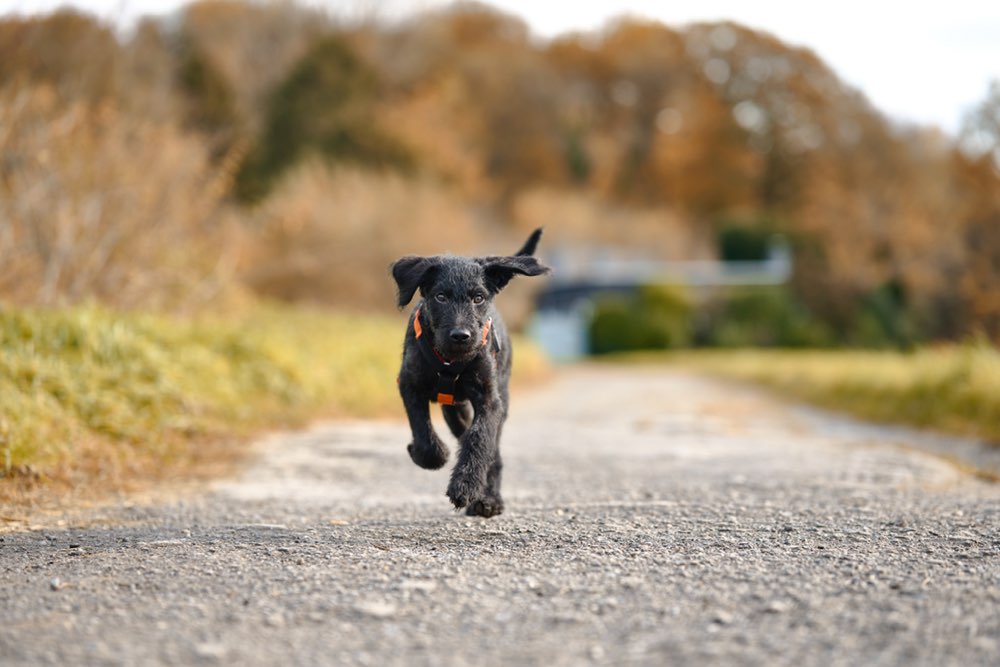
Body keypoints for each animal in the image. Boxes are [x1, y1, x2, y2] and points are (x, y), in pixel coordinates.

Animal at [391, 228, 550, 517]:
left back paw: (489, 500)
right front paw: (432, 455)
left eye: (478, 298)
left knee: (492, 452)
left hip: (500, 401)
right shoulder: (410, 385)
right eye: (440, 297)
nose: (461, 336)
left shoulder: (490, 400)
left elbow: (479, 440)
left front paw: (465, 486)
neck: (449, 361)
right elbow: (422, 430)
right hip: (455, 410)